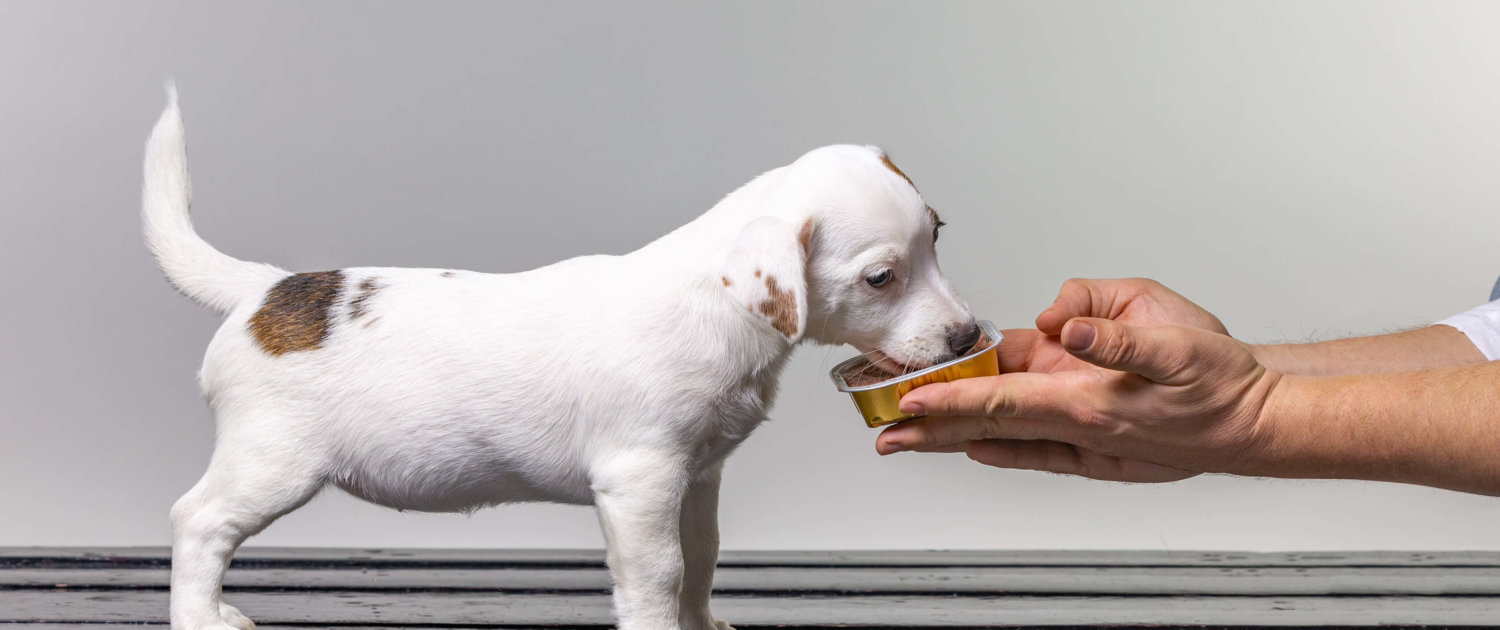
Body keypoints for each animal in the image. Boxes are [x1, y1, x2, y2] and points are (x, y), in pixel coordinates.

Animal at [146, 90, 978, 630]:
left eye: (938, 235)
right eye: (880, 277)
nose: (968, 338)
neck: (718, 307)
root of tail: (267, 291)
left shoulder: (697, 478)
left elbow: (702, 558)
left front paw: (702, 622)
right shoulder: (640, 482)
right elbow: (660, 574)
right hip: (271, 463)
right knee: (198, 522)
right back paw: (199, 615)